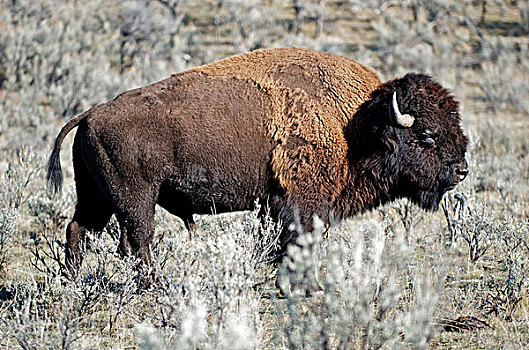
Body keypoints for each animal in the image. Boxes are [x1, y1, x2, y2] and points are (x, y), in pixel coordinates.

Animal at [46, 47, 466, 274]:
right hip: (136, 199)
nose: (461, 170)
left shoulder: (275, 203)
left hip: (96, 197)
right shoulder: (301, 203)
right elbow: (298, 244)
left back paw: (73, 280)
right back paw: (155, 286)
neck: (356, 123)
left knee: (79, 230)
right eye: (427, 135)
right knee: (137, 241)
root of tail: (92, 113)